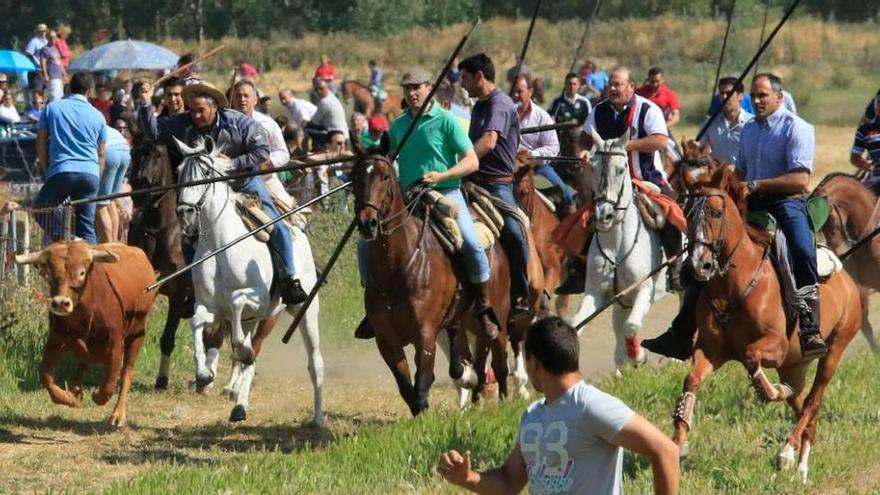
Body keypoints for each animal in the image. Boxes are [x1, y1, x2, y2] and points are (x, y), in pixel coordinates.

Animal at [17, 240, 158, 426]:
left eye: (82, 273)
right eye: (49, 274)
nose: (60, 303)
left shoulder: (115, 343)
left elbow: (110, 380)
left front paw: (98, 396)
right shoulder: (55, 341)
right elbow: (45, 375)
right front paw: (69, 398)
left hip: (137, 334)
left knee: (127, 371)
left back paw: (118, 414)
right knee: (83, 362)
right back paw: (75, 389)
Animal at [172, 137, 324, 426]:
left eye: (205, 173)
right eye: (179, 172)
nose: (185, 212)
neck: (220, 245)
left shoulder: (257, 299)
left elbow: (236, 303)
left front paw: (239, 352)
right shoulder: (208, 306)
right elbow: (198, 323)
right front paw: (204, 375)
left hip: (302, 311)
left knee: (314, 363)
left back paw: (318, 418)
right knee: (248, 357)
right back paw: (239, 404)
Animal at [572, 130, 668, 374]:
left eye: (621, 168)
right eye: (593, 167)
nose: (604, 215)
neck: (616, 245)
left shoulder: (645, 290)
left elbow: (631, 326)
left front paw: (639, 356)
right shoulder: (597, 294)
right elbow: (577, 325)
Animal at [672, 166, 860, 480]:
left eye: (716, 213)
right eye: (686, 213)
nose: (697, 265)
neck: (734, 287)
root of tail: (848, 280)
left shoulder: (777, 346)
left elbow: (751, 357)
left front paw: (770, 391)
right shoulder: (710, 350)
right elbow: (692, 380)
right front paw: (679, 442)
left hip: (833, 350)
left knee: (812, 401)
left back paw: (787, 451)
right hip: (794, 365)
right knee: (804, 408)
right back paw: (802, 466)